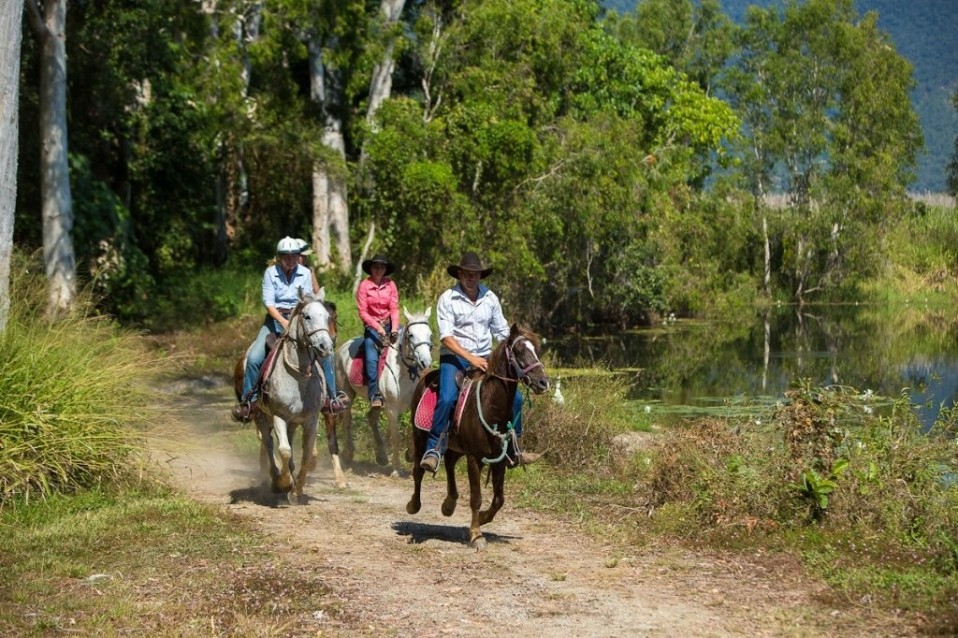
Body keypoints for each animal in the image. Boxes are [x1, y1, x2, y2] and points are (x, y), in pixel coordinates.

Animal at [234, 288, 350, 502]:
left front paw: (297, 490)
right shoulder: (279, 416)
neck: (299, 376)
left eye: (329, 317)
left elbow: (308, 452)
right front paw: (285, 483)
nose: (326, 346)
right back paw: (274, 478)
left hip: (292, 421)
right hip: (260, 415)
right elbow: (285, 450)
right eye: (307, 316)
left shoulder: (312, 418)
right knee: (268, 443)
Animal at [334, 308, 432, 478]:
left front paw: (410, 455)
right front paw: (397, 470)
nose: (425, 362)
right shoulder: (392, 408)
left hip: (377, 401)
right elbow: (396, 437)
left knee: (371, 418)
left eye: (430, 334)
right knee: (347, 421)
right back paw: (348, 454)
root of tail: (344, 346)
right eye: (411, 335)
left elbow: (413, 429)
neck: (404, 372)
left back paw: (381, 456)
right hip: (347, 392)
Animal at [406, 324, 556, 552]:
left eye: (536, 350)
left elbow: (499, 498)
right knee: (418, 471)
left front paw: (484, 518)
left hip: (456, 446)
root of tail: (426, 376)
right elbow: (476, 497)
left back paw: (449, 505)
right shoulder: (474, 458)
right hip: (420, 436)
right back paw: (414, 505)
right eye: (519, 351)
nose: (543, 382)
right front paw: (476, 535)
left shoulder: (499, 460)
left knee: (449, 463)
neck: (490, 405)